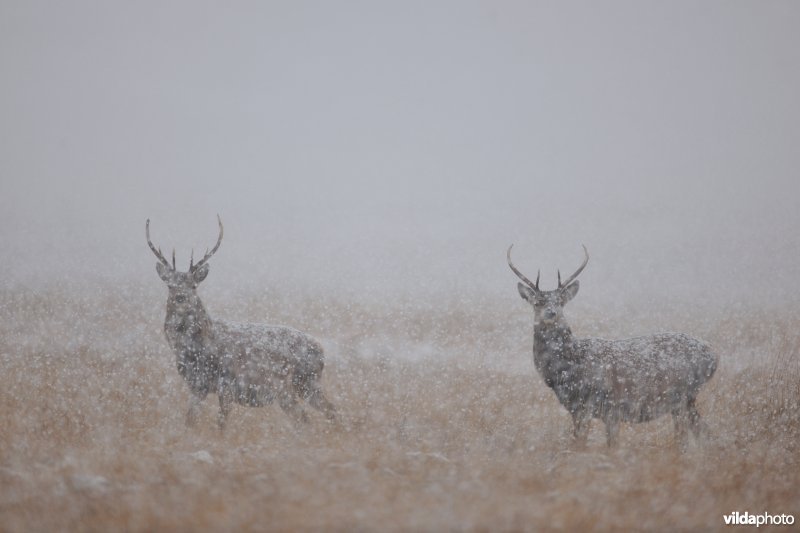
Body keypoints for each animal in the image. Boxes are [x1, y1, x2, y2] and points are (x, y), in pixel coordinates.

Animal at [146, 216, 334, 428]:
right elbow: (190, 420)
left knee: (326, 410)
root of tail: (321, 350)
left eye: (193, 285)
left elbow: (221, 423)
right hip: (291, 390)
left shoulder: (227, 383)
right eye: (170, 285)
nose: (180, 297)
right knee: (308, 416)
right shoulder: (198, 386)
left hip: (304, 381)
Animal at [510, 246, 716, 448]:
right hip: (685, 400)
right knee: (702, 431)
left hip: (681, 394)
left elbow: (599, 446)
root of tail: (714, 357)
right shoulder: (580, 409)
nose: (551, 313)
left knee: (685, 436)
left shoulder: (606, 405)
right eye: (538, 302)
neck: (568, 370)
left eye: (561, 301)